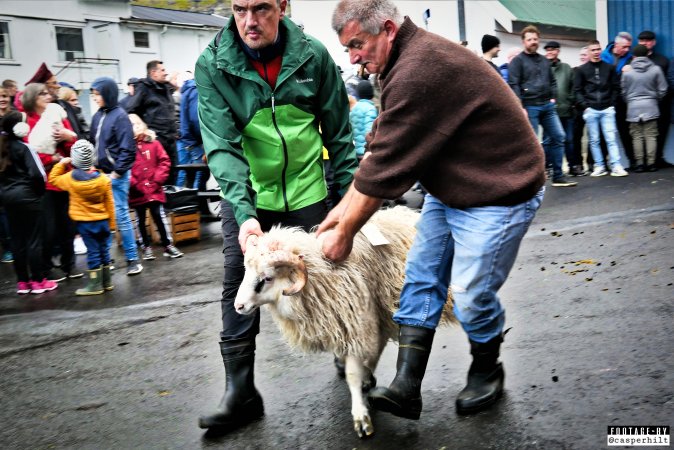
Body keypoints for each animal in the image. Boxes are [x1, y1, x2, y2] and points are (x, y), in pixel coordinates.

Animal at [231, 208, 452, 440]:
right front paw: (365, 385)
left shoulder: (354, 323)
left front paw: (361, 417)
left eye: (267, 278)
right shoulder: (362, 318)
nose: (238, 306)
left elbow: (352, 375)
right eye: (246, 272)